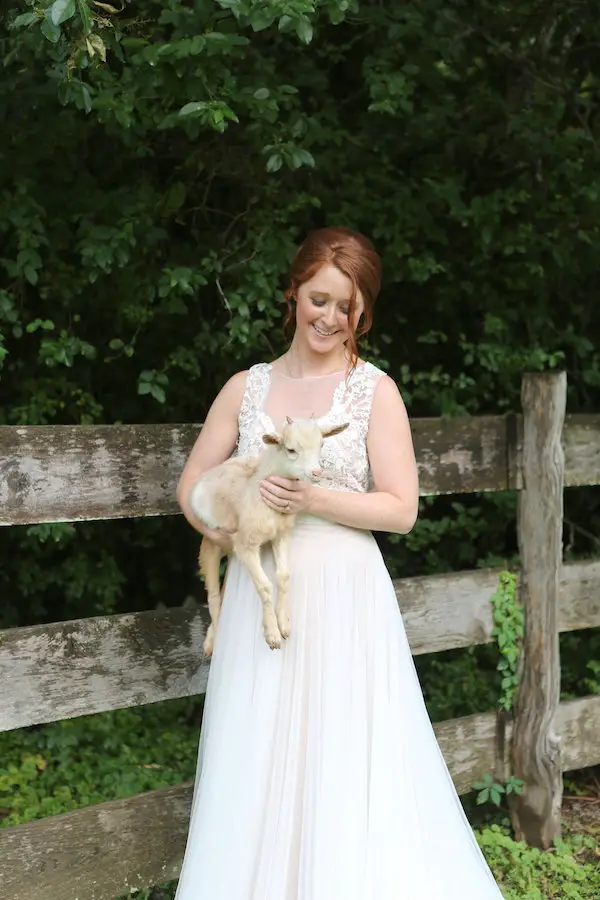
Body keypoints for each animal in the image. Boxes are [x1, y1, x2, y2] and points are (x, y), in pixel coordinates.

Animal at [188, 418, 346, 656]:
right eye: (291, 449)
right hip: (210, 543)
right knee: (214, 597)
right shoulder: (245, 543)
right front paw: (272, 634)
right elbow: (264, 585)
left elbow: (283, 576)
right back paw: (211, 643)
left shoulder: (281, 535)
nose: (317, 472)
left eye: (321, 444)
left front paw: (284, 624)